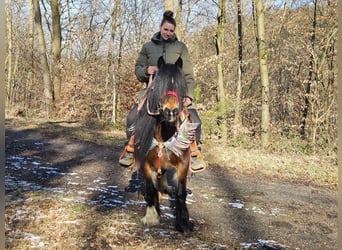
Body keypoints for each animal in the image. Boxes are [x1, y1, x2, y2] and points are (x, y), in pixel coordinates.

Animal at [134, 56, 198, 232]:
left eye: (180, 85)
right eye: (158, 85)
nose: (171, 112)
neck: (164, 135)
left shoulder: (183, 164)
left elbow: (181, 193)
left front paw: (184, 221)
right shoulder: (146, 164)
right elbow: (150, 189)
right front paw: (151, 216)